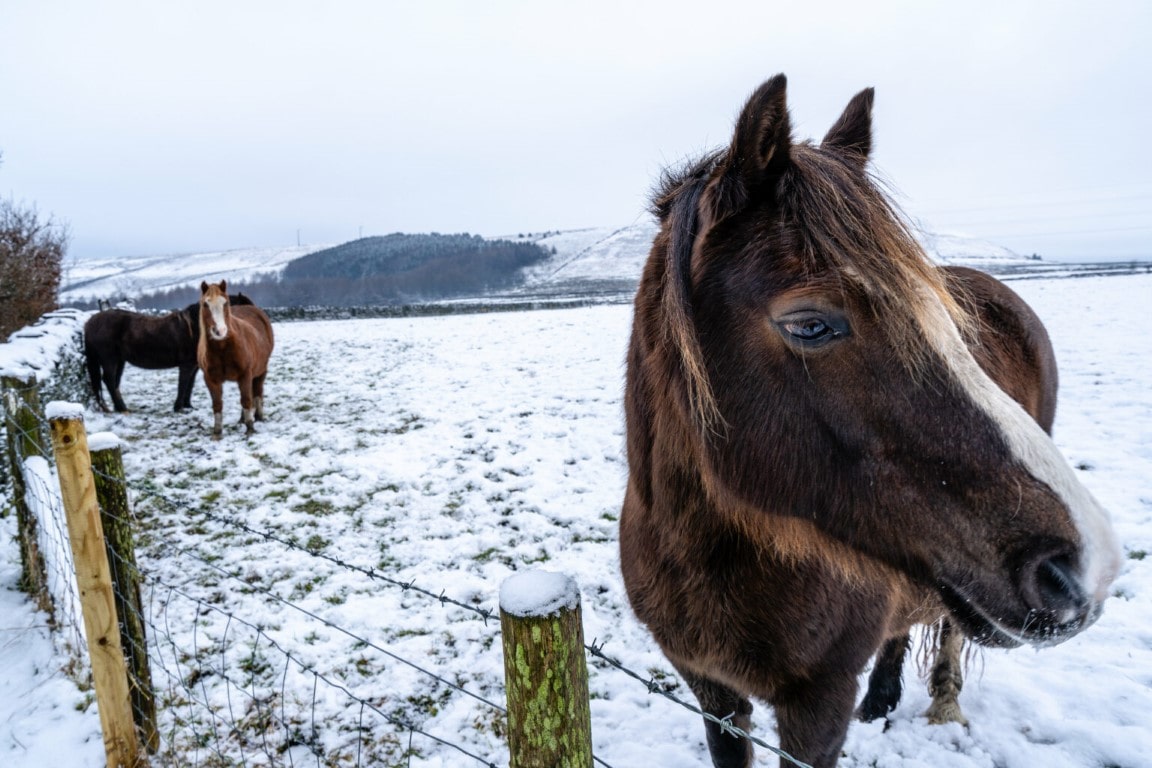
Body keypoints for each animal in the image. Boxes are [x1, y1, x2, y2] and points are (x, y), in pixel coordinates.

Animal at [84, 294, 254, 414]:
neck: (194, 327)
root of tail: (91, 322)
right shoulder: (186, 365)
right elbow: (183, 384)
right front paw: (178, 408)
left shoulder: (194, 367)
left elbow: (189, 385)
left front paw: (188, 406)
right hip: (109, 360)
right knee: (109, 380)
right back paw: (122, 408)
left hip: (120, 361)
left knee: (113, 382)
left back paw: (119, 408)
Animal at [196, 280, 273, 437]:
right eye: (205, 304)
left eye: (225, 303)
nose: (220, 331)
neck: (223, 348)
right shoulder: (211, 380)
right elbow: (217, 405)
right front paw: (217, 432)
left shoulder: (245, 375)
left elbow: (246, 400)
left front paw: (250, 428)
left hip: (261, 371)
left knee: (257, 392)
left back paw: (258, 416)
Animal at [617, 76, 1119, 768]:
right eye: (810, 324)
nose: (1085, 568)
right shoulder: (712, 693)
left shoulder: (817, 707)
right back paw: (881, 700)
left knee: (945, 630)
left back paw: (938, 703)